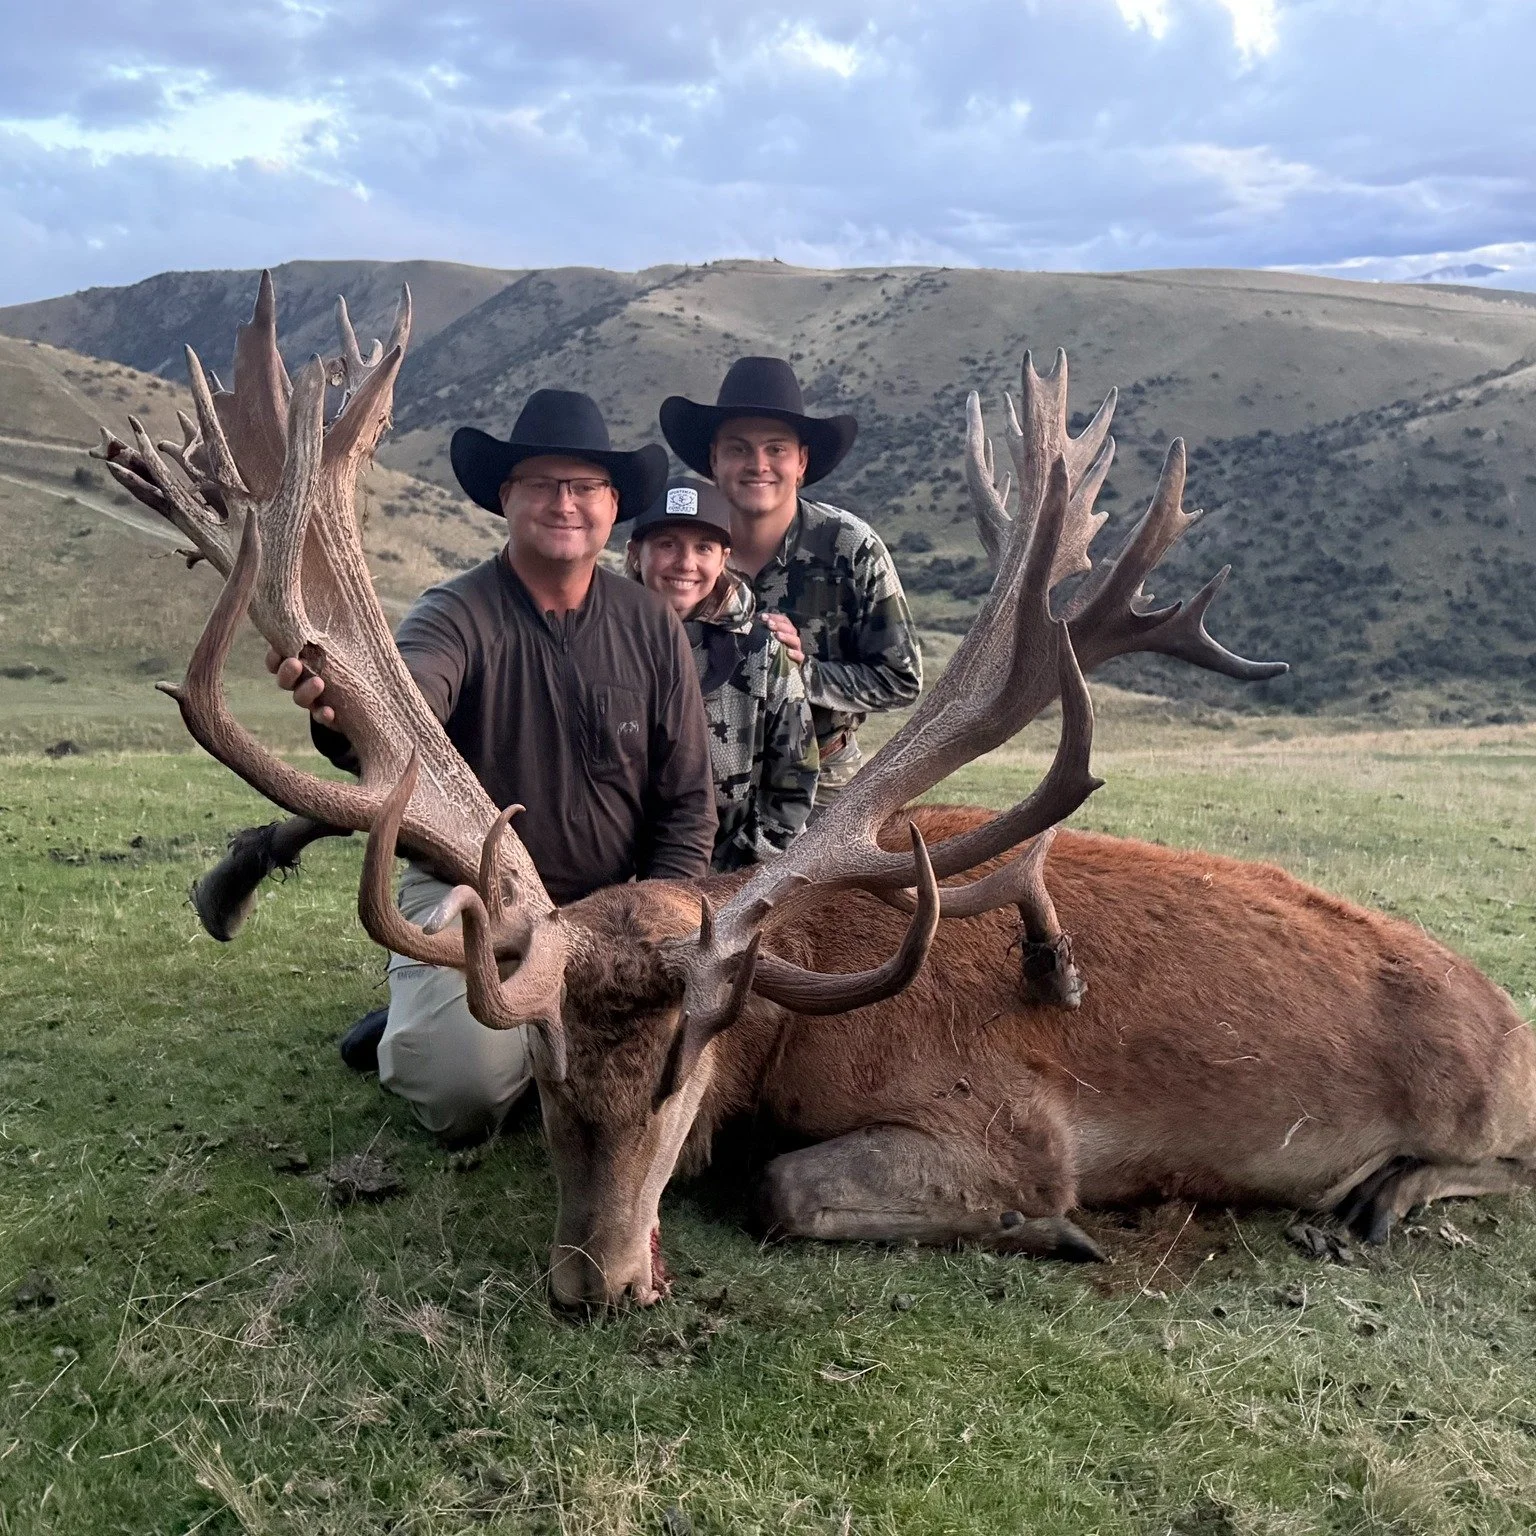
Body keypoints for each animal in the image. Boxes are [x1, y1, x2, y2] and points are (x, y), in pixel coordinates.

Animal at [97, 275, 1536, 1309]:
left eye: (679, 1084)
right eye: (550, 1084)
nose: (592, 1283)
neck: (798, 1020)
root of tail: (1509, 1021)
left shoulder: (1014, 1128)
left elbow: (790, 1191)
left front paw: (1055, 1236)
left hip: (1485, 1108)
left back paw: (1383, 1198)